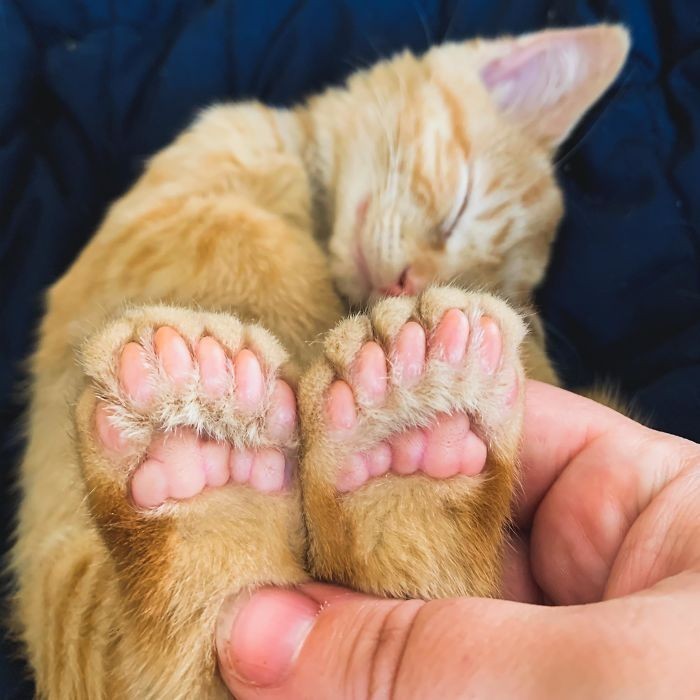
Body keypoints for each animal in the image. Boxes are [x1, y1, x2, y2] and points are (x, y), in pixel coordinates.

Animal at [9, 24, 628, 696]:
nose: (406, 282)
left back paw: (398, 439)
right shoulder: (169, 204)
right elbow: (247, 237)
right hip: (71, 602)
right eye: (459, 208)